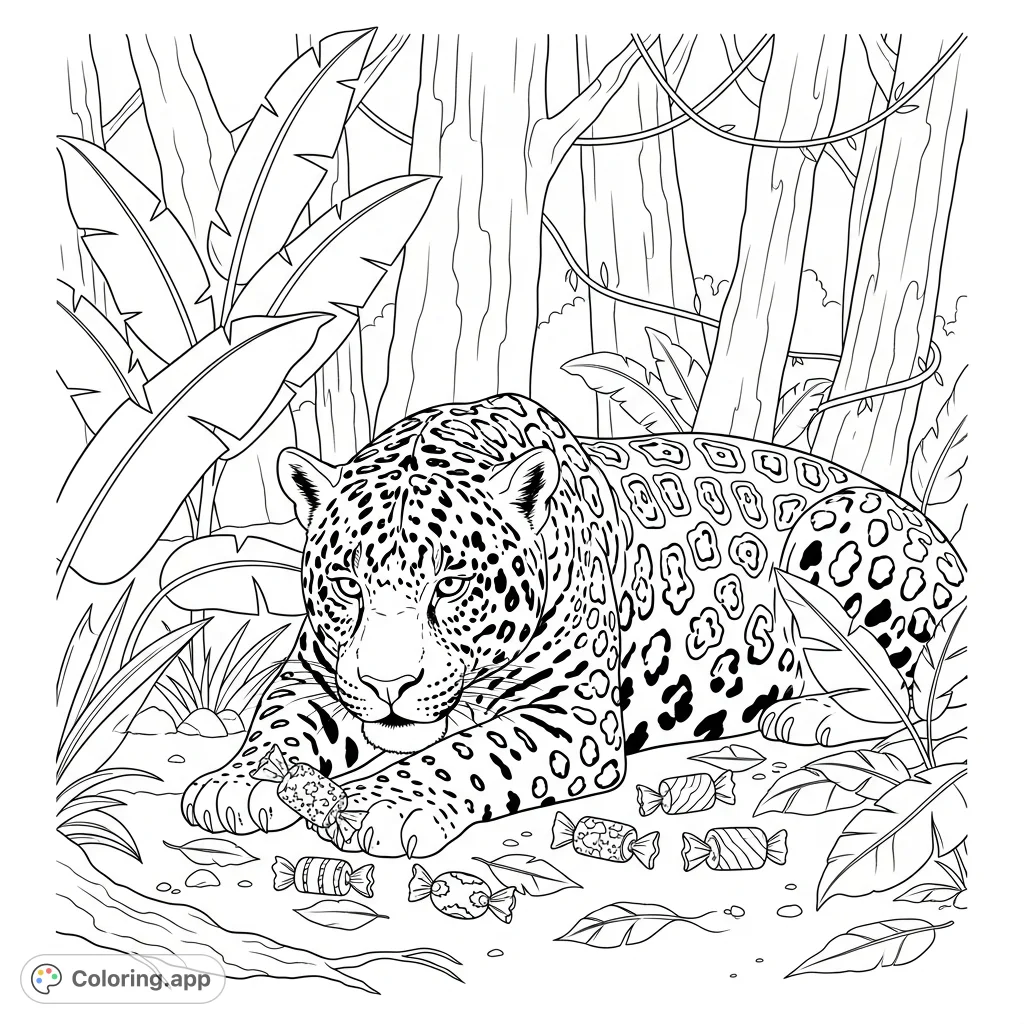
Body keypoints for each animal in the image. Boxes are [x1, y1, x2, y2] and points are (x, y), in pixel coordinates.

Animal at [182, 394, 965, 858]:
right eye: (348, 585)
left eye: (452, 586)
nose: (388, 685)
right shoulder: (314, 673)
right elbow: (279, 722)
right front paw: (236, 782)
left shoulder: (573, 716)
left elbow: (469, 752)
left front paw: (382, 803)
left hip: (840, 532)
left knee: (918, 694)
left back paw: (808, 717)